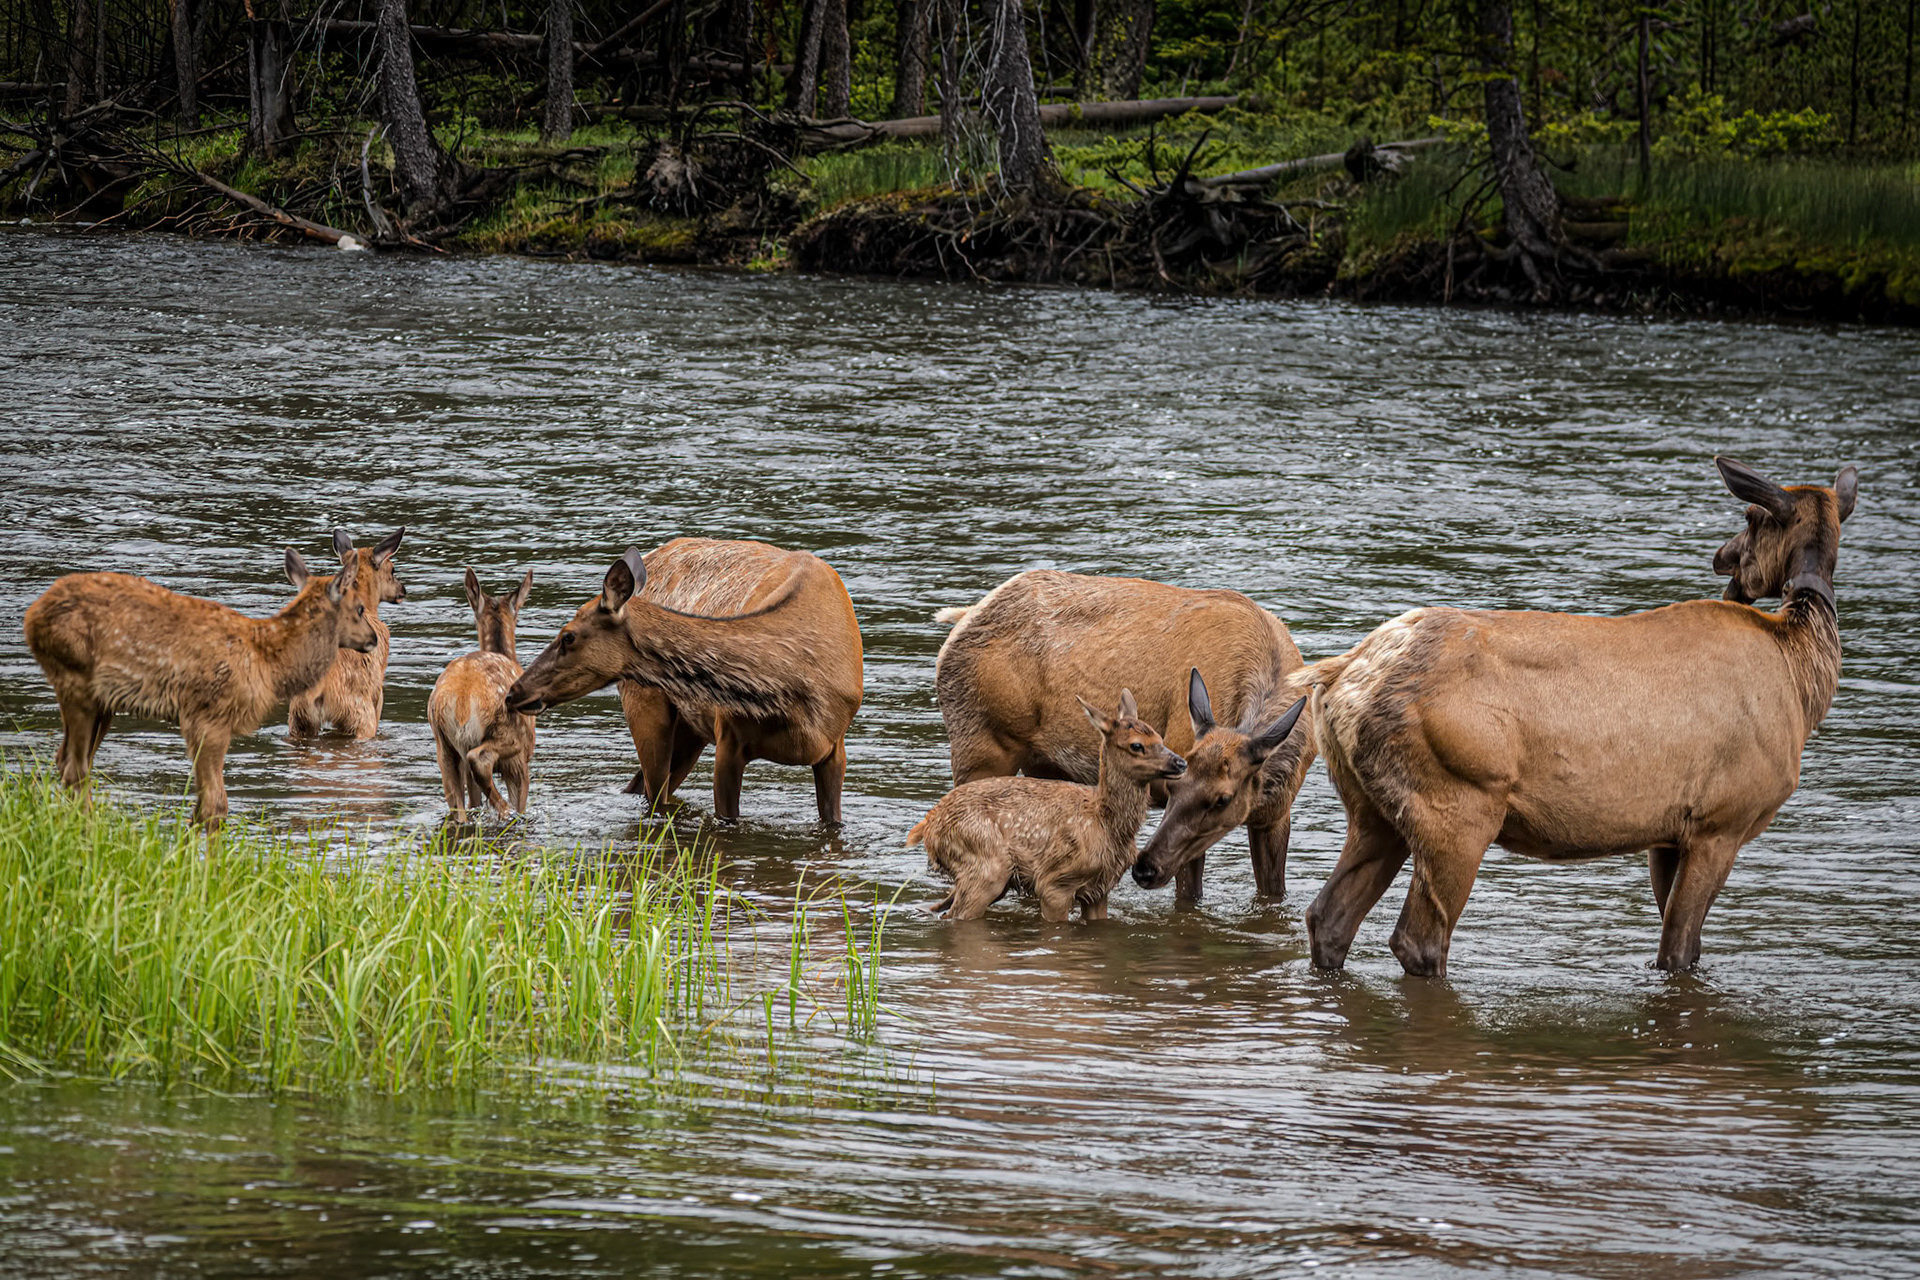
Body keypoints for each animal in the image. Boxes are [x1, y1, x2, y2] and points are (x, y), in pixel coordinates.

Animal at [23, 543, 379, 828]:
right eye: (359, 608)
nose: (373, 638)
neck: (269, 665)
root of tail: (32, 617)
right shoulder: (208, 716)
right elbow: (214, 805)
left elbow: (201, 803)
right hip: (74, 678)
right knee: (75, 768)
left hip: (101, 700)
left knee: (65, 760)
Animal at [428, 568, 536, 821]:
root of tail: (462, 701)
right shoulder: (523, 757)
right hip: (509, 734)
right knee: (480, 760)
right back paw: (503, 809)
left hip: (444, 746)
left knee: (458, 808)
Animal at [504, 538, 864, 824]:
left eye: (568, 636)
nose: (514, 691)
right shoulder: (728, 739)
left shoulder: (835, 750)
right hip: (647, 709)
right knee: (653, 794)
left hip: (692, 729)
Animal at [908, 689, 1188, 922]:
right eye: (1136, 745)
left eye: (1159, 737)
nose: (1180, 762)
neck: (1104, 822)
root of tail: (928, 825)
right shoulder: (1055, 882)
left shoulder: (1100, 889)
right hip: (984, 861)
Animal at [1291, 457, 1858, 978]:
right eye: (1750, 513)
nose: (1724, 560)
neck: (1802, 675)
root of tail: (1341, 677)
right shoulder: (1722, 821)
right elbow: (1678, 953)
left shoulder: (1668, 832)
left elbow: (1683, 947)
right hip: (1457, 803)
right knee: (1417, 938)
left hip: (1372, 808)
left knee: (1328, 916)